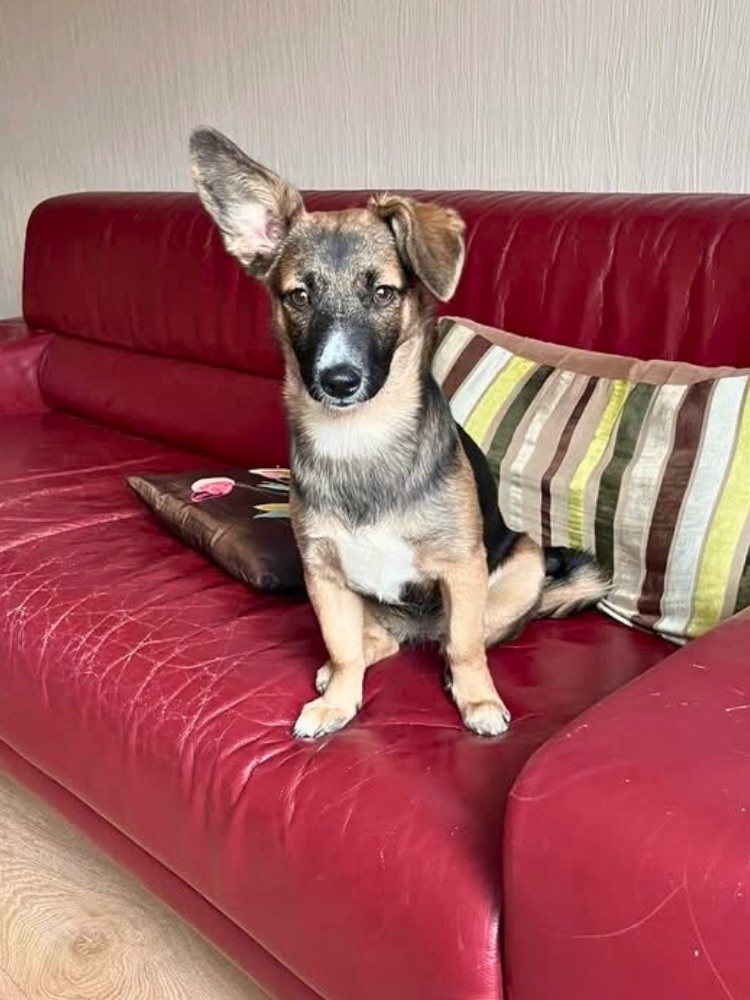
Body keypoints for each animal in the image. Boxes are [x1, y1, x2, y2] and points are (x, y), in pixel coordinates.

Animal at [189, 127, 608, 740]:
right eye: (298, 296)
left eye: (383, 293)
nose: (338, 380)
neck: (361, 437)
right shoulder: (324, 576)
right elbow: (343, 651)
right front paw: (338, 701)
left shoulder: (463, 568)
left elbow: (466, 647)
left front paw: (477, 700)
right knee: (379, 641)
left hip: (524, 563)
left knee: (458, 640)